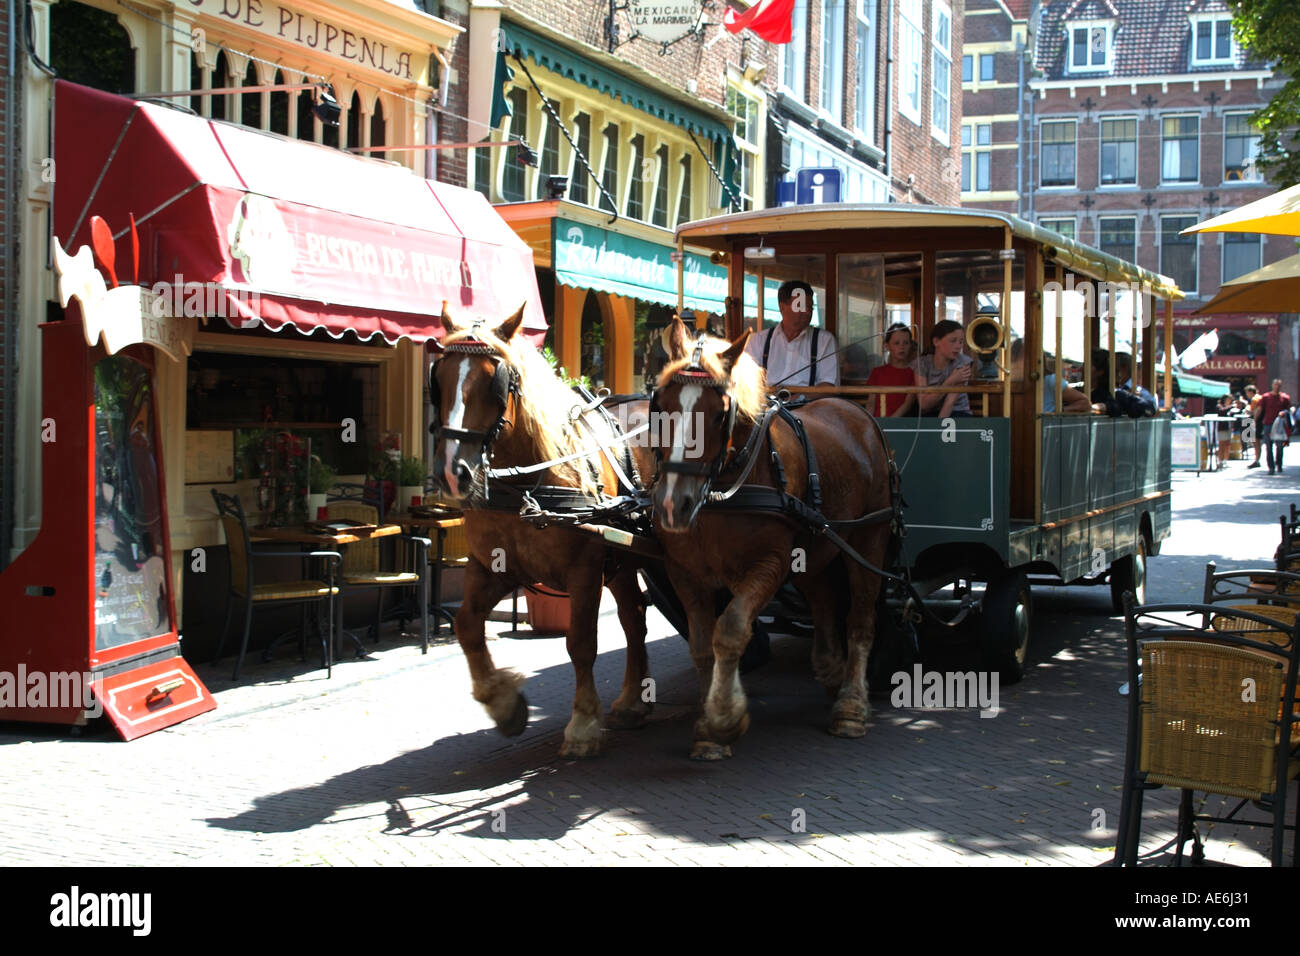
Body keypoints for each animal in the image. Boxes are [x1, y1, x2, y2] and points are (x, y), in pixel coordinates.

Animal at [428, 303, 655, 759]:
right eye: (438, 378)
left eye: (495, 382)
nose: (450, 473)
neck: (525, 484)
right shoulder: (493, 567)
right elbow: (466, 626)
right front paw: (502, 704)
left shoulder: (584, 570)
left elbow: (581, 642)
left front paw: (583, 725)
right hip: (624, 559)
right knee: (633, 618)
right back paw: (632, 703)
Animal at [650, 317, 894, 759]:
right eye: (660, 405)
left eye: (720, 415)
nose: (674, 505)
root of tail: (855, 410)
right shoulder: (684, 573)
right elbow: (701, 645)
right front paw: (709, 728)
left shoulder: (770, 564)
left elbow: (730, 630)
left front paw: (724, 718)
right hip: (816, 549)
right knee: (824, 602)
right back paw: (830, 671)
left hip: (869, 538)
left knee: (860, 619)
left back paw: (851, 705)